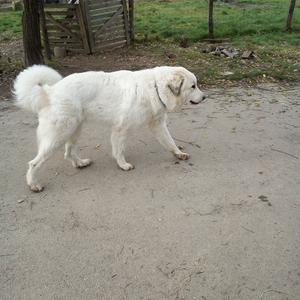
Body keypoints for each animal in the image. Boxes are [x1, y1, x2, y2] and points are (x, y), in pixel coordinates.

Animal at [14, 65, 206, 192]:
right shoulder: (120, 129)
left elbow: (170, 142)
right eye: (193, 86)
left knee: (68, 153)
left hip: (74, 130)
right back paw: (33, 184)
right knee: (34, 163)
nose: (205, 97)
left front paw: (179, 154)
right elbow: (119, 150)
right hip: (58, 135)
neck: (156, 87)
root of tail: (50, 91)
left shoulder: (158, 125)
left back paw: (81, 163)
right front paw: (123, 165)